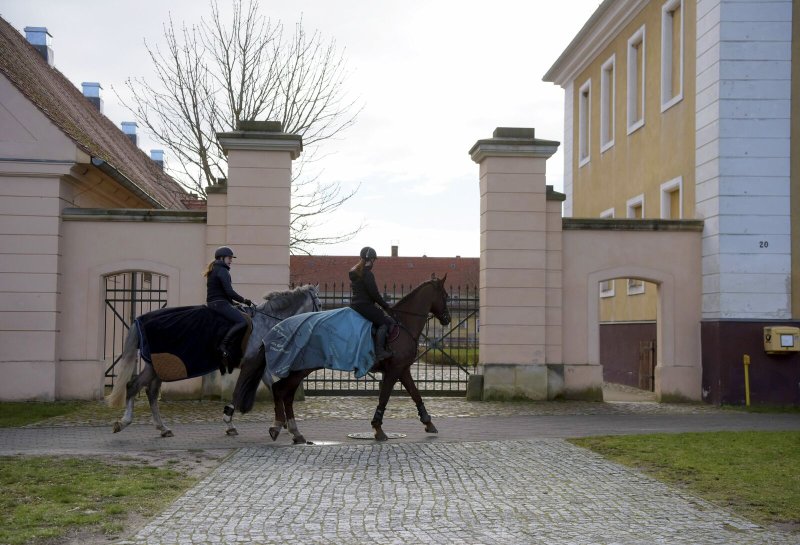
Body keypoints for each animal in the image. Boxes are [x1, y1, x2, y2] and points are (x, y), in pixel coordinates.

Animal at [105, 282, 318, 436]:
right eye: (319, 303)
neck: (266, 322)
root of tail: (139, 320)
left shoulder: (260, 367)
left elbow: (270, 388)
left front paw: (281, 424)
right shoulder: (251, 364)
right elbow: (239, 392)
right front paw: (229, 421)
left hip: (155, 367)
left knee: (144, 389)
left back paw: (158, 427)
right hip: (159, 365)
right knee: (139, 388)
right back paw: (128, 422)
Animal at [234, 276, 454, 442]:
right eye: (445, 295)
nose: (447, 319)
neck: (402, 323)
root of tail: (277, 328)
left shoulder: (403, 369)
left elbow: (416, 394)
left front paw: (428, 422)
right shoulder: (394, 371)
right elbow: (384, 397)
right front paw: (378, 429)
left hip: (300, 369)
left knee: (284, 392)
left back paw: (292, 432)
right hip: (302, 369)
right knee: (281, 391)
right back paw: (281, 428)